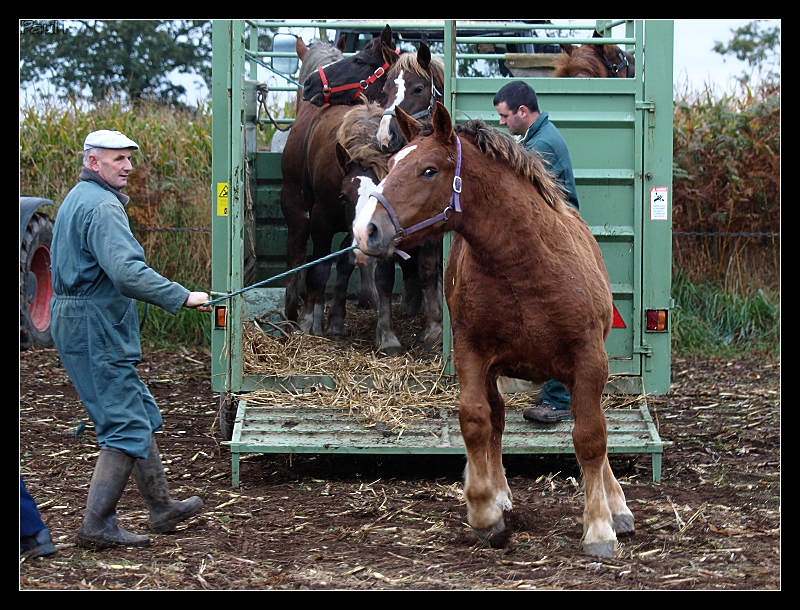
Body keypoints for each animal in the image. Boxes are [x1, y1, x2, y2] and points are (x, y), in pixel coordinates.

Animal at [354, 101, 636, 556]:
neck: (526, 265)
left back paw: (617, 506)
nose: (367, 231)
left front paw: (599, 526)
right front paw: (484, 509)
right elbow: (476, 421)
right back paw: (499, 492)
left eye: (428, 170)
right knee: (497, 420)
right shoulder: (472, 353)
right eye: (393, 163)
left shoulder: (589, 360)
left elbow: (591, 436)